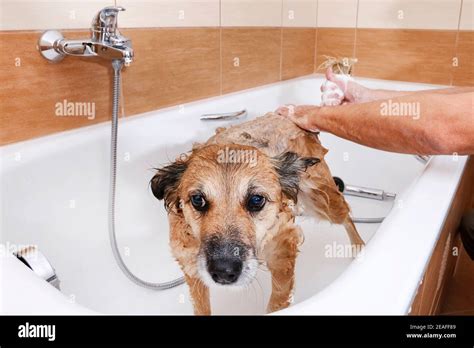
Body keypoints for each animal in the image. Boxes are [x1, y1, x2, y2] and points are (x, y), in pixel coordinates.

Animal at [152, 112, 362, 316]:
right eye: (198, 200)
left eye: (256, 200)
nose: (224, 271)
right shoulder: (190, 264)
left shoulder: (282, 252)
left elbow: (277, 301)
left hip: (324, 202)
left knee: (346, 216)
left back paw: (359, 247)